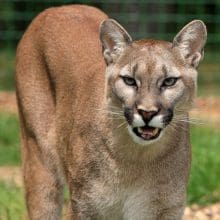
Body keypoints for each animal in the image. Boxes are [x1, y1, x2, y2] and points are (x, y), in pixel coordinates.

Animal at [15, 3, 206, 220]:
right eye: (129, 80)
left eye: (169, 81)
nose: (147, 113)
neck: (137, 158)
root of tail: (58, 8)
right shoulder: (83, 206)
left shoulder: (167, 209)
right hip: (40, 162)